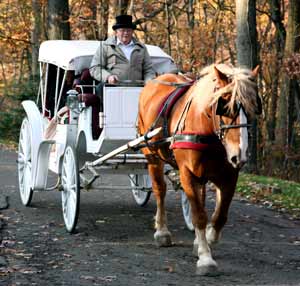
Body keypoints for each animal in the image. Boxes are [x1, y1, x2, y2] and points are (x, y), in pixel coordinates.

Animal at [137, 64, 262, 274]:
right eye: (225, 107)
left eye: (253, 107)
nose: (241, 154)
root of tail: (156, 79)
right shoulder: (187, 173)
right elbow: (199, 216)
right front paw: (205, 258)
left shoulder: (229, 175)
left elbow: (219, 216)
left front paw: (207, 240)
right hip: (152, 155)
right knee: (160, 189)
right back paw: (162, 231)